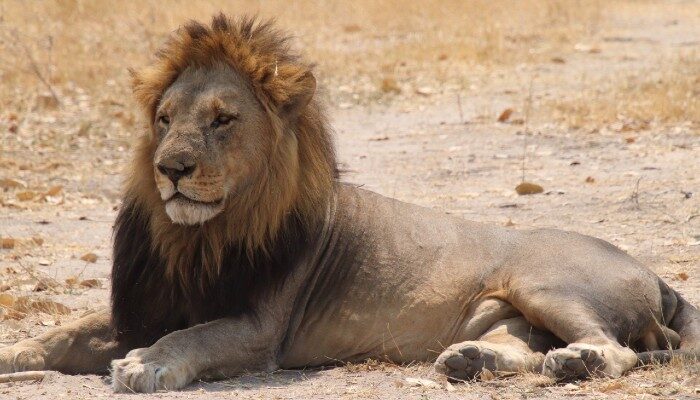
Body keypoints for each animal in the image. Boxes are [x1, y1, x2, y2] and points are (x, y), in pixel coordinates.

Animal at [1, 13, 700, 394]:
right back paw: (472, 360)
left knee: (617, 350)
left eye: (223, 120)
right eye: (165, 119)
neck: (199, 236)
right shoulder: (146, 306)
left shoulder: (261, 329)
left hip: (544, 282)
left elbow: (191, 336)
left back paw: (576, 362)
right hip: (509, 310)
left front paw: (147, 364)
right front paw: (13, 353)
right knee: (522, 344)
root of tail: (654, 273)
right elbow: (61, 332)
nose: (169, 169)